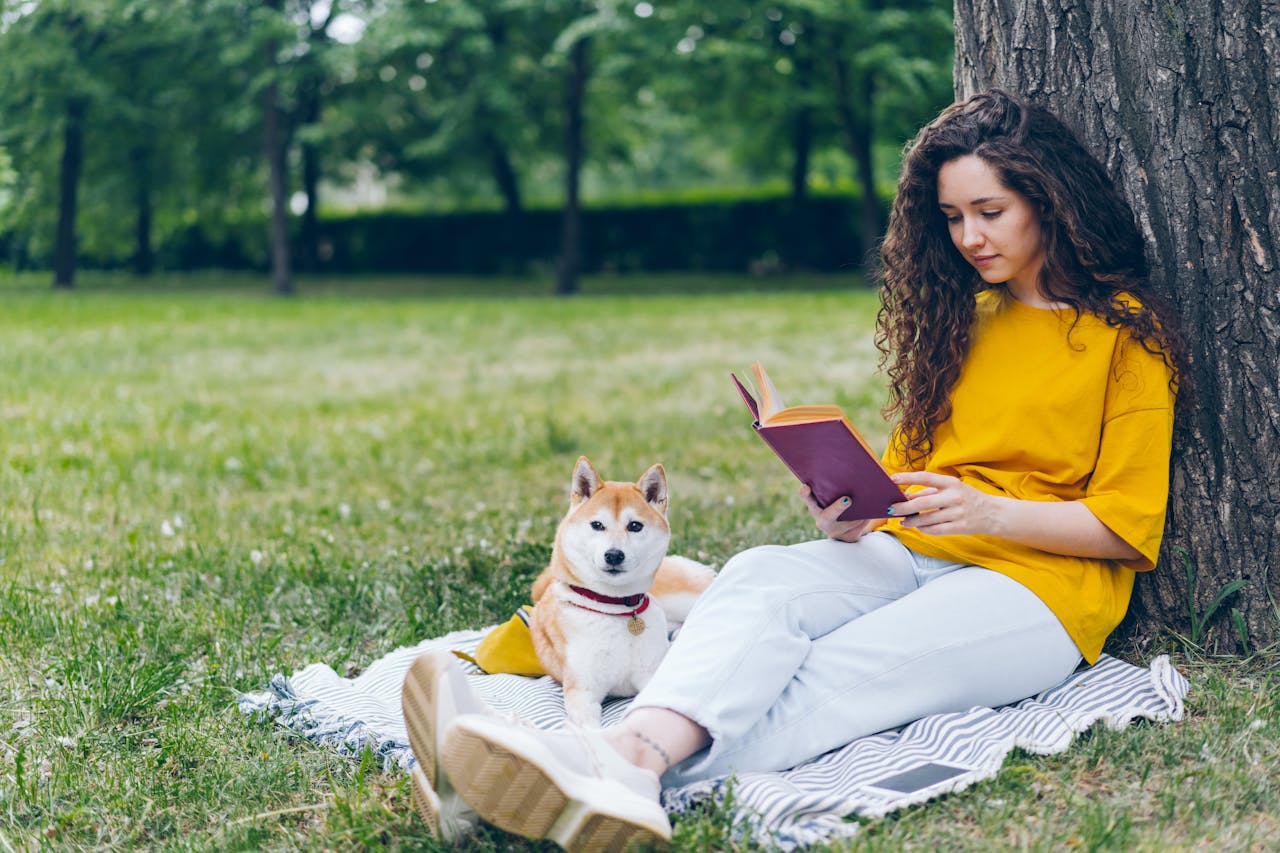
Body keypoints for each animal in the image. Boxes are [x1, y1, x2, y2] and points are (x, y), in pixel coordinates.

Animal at [524, 455, 716, 722]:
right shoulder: (582, 692)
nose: (614, 555)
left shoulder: (649, 676)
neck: (613, 608)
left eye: (635, 526)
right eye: (597, 525)